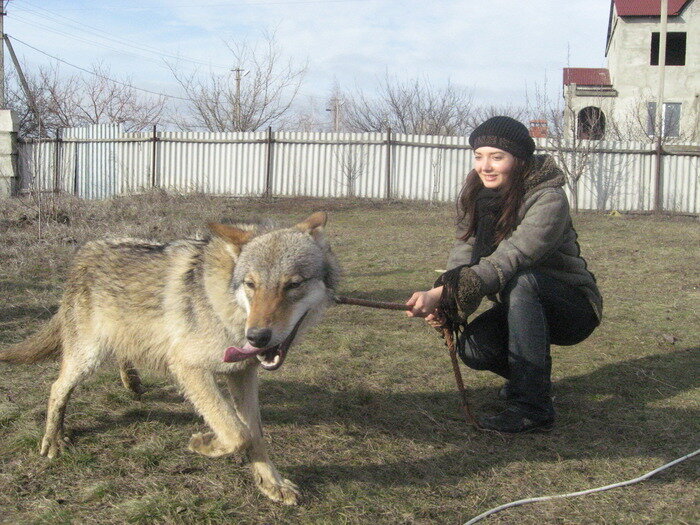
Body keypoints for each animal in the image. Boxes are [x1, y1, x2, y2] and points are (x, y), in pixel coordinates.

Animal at [0, 211, 340, 506]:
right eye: (251, 284)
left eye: (293, 284)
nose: (257, 337)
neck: (227, 307)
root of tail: (84, 252)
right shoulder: (188, 367)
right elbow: (236, 433)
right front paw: (204, 444)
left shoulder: (242, 373)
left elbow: (253, 433)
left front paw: (271, 483)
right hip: (87, 358)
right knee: (57, 388)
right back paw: (53, 440)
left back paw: (132, 383)